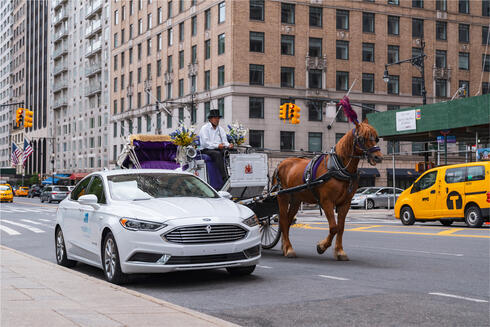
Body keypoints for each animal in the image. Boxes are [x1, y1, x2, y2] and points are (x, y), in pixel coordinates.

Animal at [272, 118, 382, 262]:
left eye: (376, 138)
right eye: (362, 138)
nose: (378, 157)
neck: (340, 168)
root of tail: (280, 164)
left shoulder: (345, 203)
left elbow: (341, 227)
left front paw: (340, 251)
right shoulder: (327, 202)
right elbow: (334, 227)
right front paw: (321, 246)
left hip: (296, 199)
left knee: (288, 221)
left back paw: (285, 247)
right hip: (283, 197)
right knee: (284, 221)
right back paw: (289, 249)